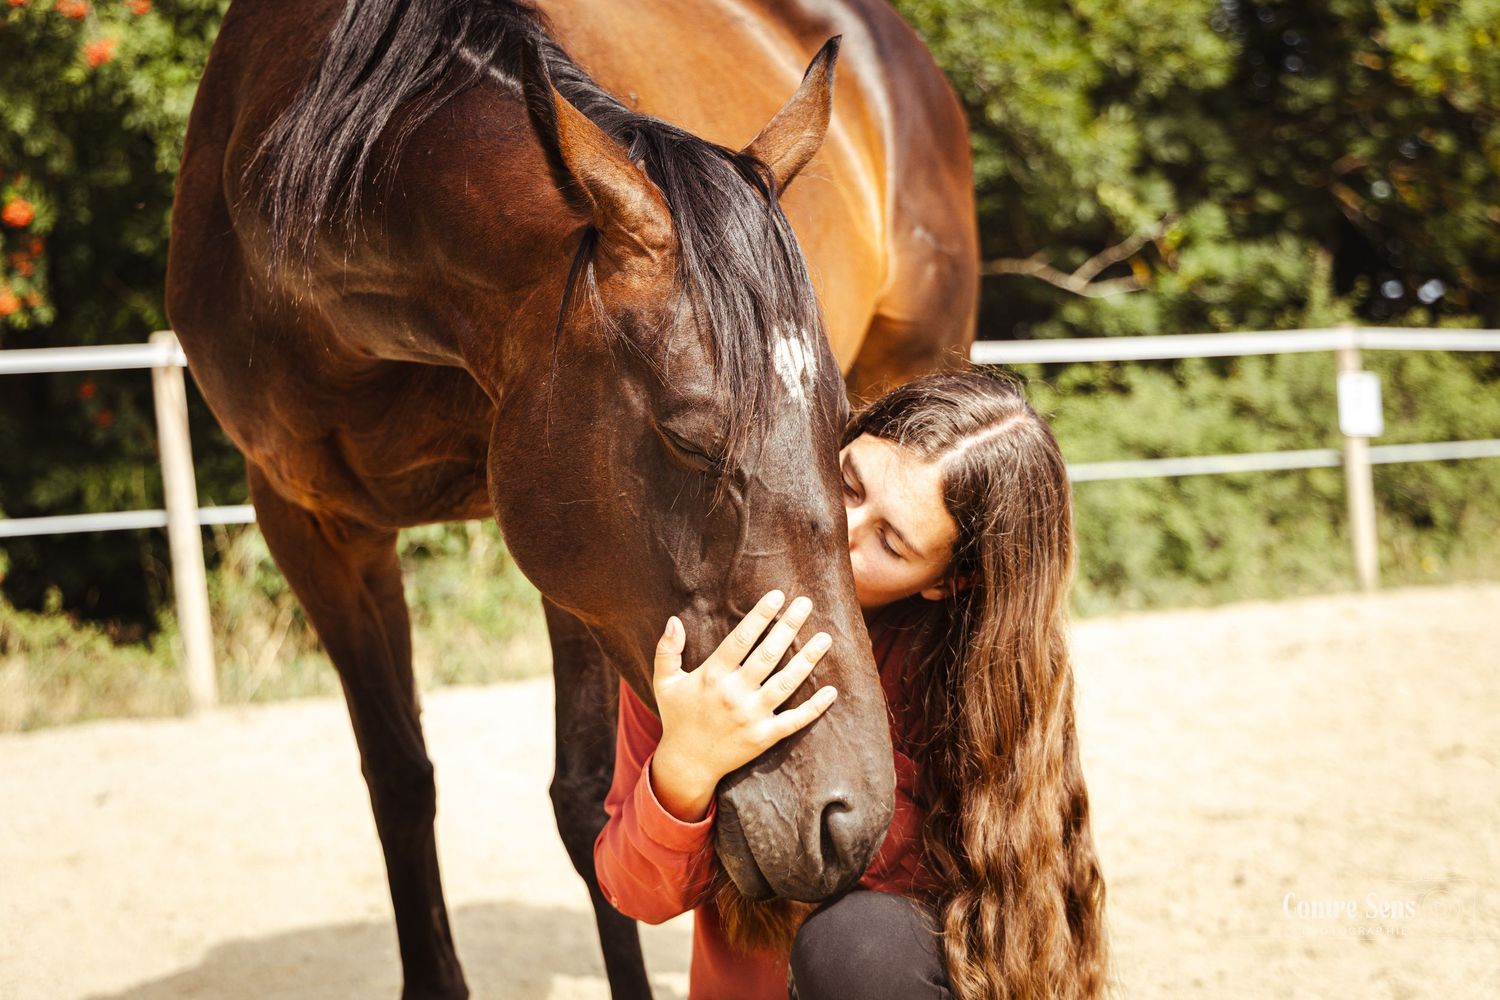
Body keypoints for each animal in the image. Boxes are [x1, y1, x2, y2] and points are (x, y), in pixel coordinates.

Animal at [165, 1, 976, 996]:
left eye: (841, 431)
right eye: (688, 436)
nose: (849, 816)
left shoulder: (580, 575)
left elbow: (585, 801)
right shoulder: (311, 521)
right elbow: (399, 778)